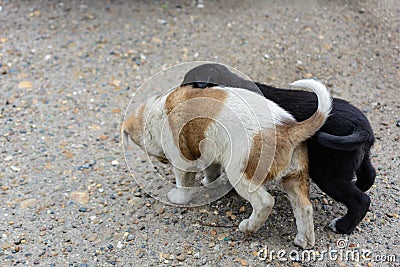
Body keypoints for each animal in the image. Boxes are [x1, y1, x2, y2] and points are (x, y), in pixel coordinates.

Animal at [123, 79, 332, 249]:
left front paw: (179, 198)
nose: (162, 160)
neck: (156, 113)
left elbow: (183, 184)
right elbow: (211, 170)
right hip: (295, 177)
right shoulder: (208, 152)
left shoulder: (183, 161)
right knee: (304, 207)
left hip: (240, 174)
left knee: (265, 202)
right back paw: (304, 241)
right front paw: (208, 182)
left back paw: (248, 226)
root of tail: (288, 129)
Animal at [183, 63, 376, 236]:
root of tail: (362, 127)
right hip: (358, 159)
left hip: (328, 174)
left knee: (361, 200)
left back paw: (342, 226)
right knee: (369, 176)